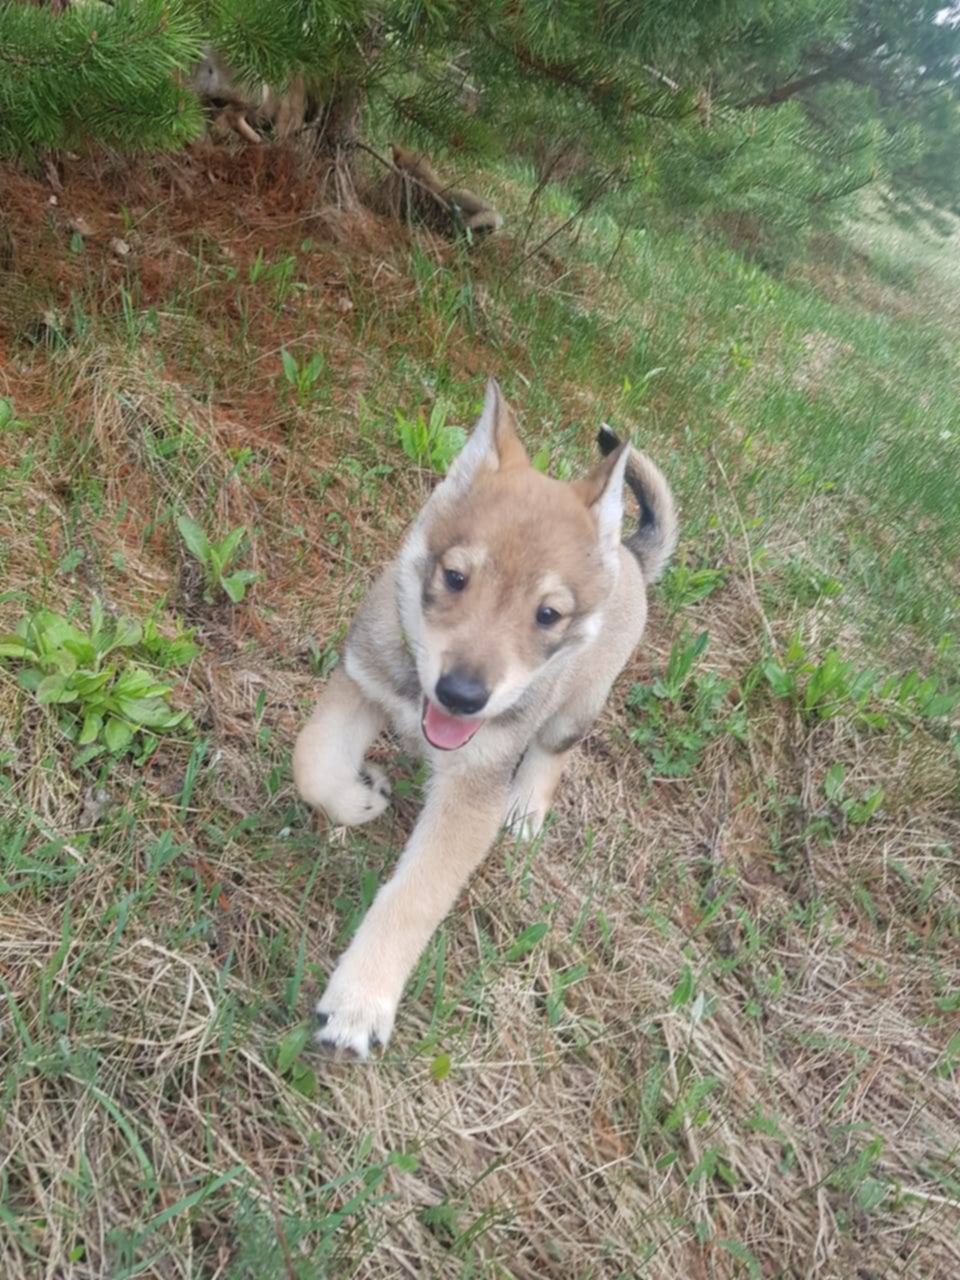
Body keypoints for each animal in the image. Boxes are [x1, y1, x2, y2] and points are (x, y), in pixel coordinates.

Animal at [296, 373, 680, 1054]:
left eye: (548, 615)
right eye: (454, 577)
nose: (461, 695)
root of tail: (630, 557)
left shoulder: (470, 799)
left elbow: (414, 898)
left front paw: (360, 1003)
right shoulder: (360, 682)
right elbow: (312, 763)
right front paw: (359, 799)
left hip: (575, 711)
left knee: (552, 755)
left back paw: (526, 808)